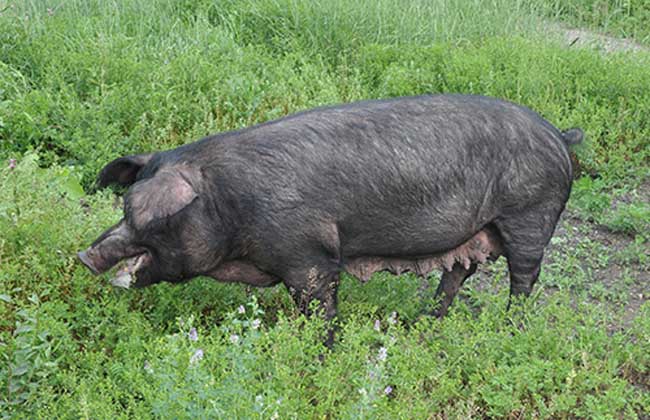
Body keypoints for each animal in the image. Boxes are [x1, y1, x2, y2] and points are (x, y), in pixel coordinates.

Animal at [77, 95, 584, 342]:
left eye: (145, 218)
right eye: (123, 208)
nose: (86, 254)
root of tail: (558, 136)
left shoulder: (311, 255)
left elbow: (320, 309)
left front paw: (319, 352)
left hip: (531, 215)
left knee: (524, 278)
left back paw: (510, 328)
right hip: (478, 232)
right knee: (458, 273)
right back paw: (422, 322)